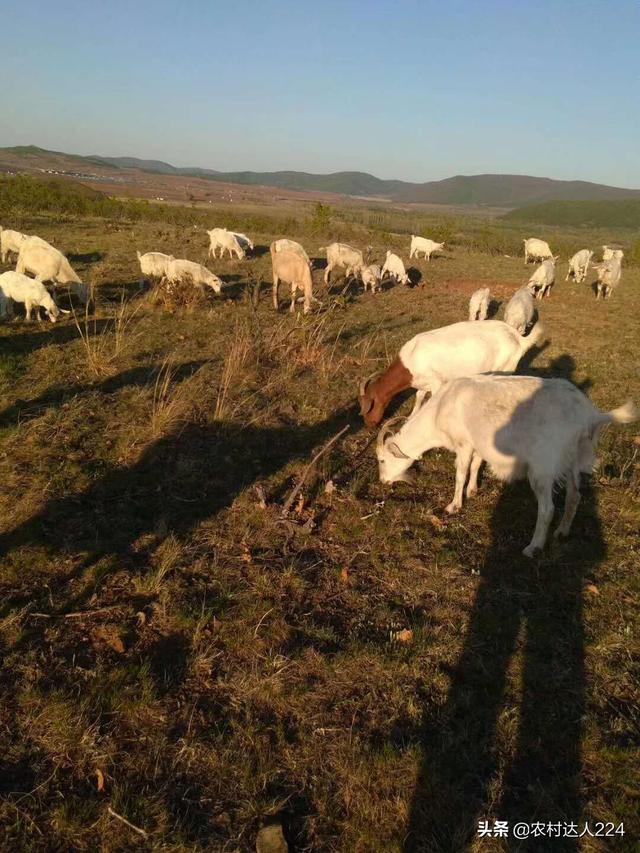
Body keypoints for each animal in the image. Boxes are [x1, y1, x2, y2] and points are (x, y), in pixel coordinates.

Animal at [376, 376, 636, 556]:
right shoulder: (477, 443)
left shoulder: (463, 443)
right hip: (573, 459)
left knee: (547, 508)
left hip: (542, 467)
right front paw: (473, 490)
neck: (440, 411)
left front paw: (454, 505)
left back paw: (533, 547)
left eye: (381, 460)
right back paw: (562, 532)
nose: (382, 481)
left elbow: (461, 472)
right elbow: (475, 465)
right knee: (575, 496)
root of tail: (588, 415)